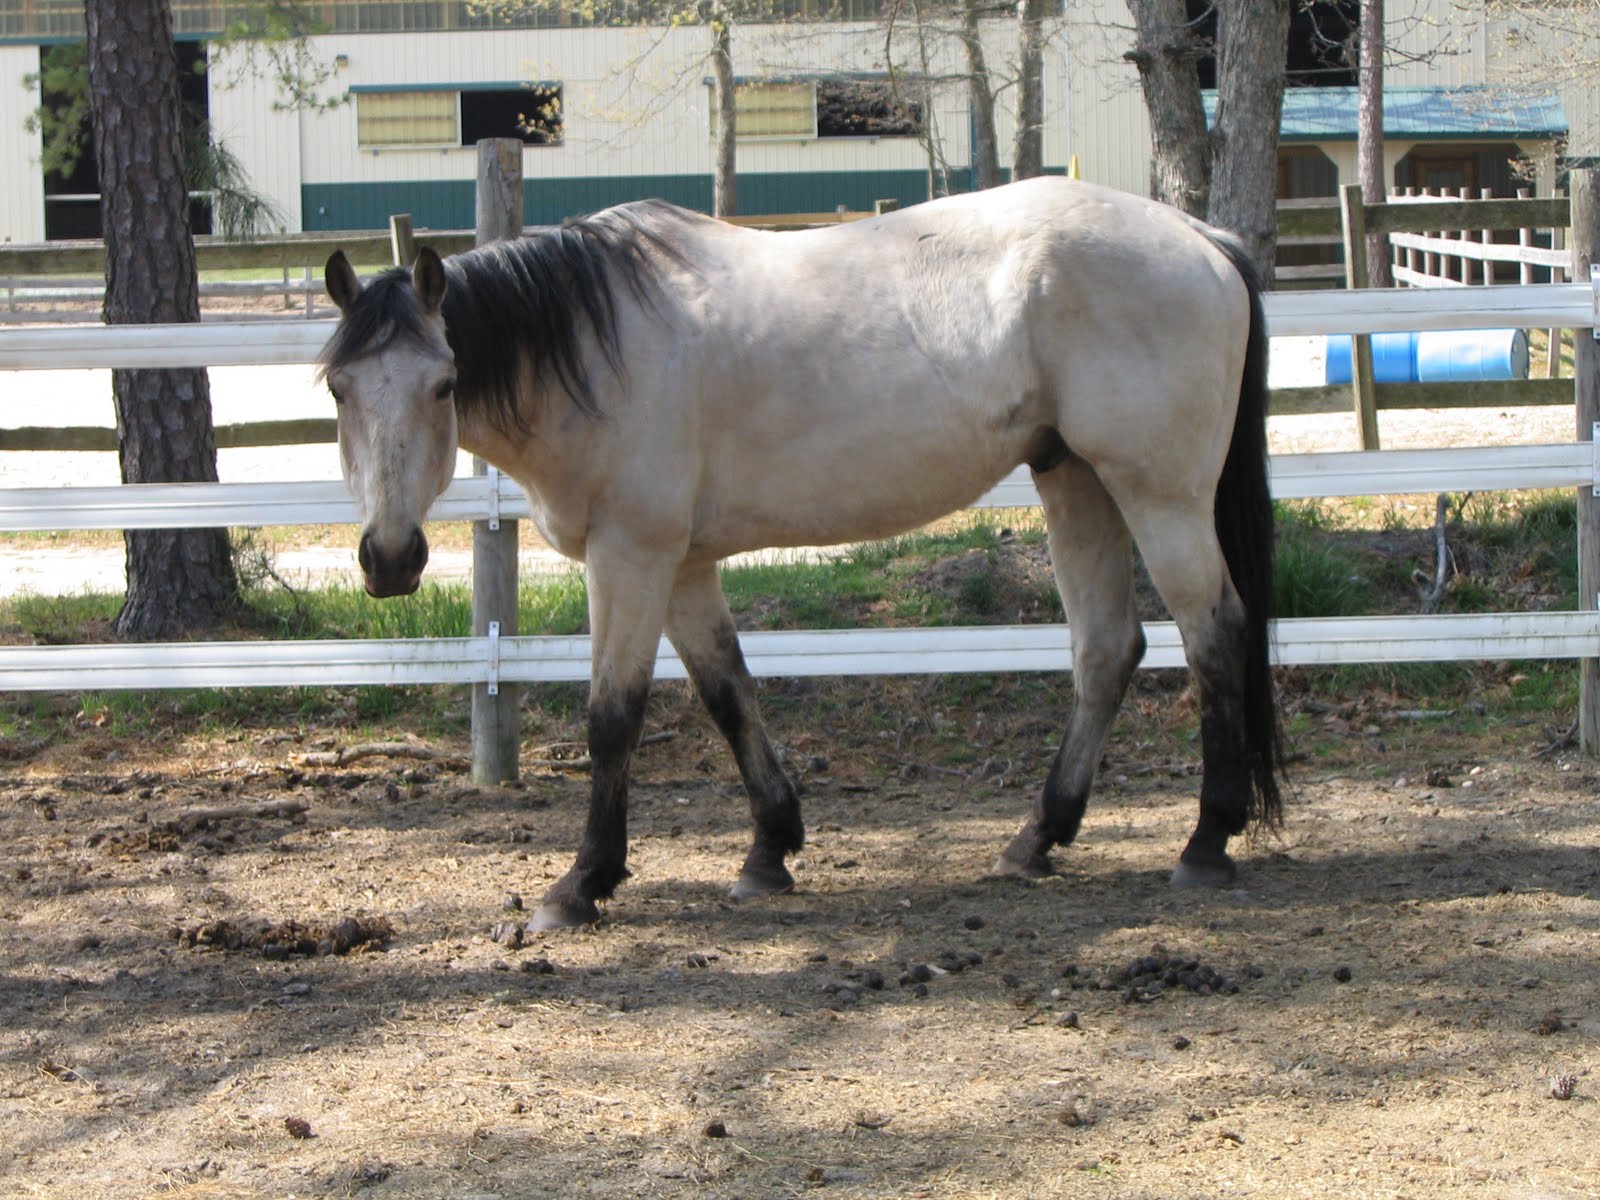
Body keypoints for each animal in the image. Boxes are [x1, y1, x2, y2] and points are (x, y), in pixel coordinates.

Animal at [318, 176, 1284, 931]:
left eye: (443, 383)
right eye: (337, 387)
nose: (391, 557)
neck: (598, 348)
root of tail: (1199, 239)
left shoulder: (631, 556)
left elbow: (612, 718)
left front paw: (582, 883)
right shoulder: (682, 564)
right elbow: (728, 692)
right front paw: (769, 850)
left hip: (1158, 494)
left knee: (1215, 632)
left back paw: (1206, 841)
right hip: (1074, 479)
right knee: (1108, 650)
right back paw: (1036, 837)